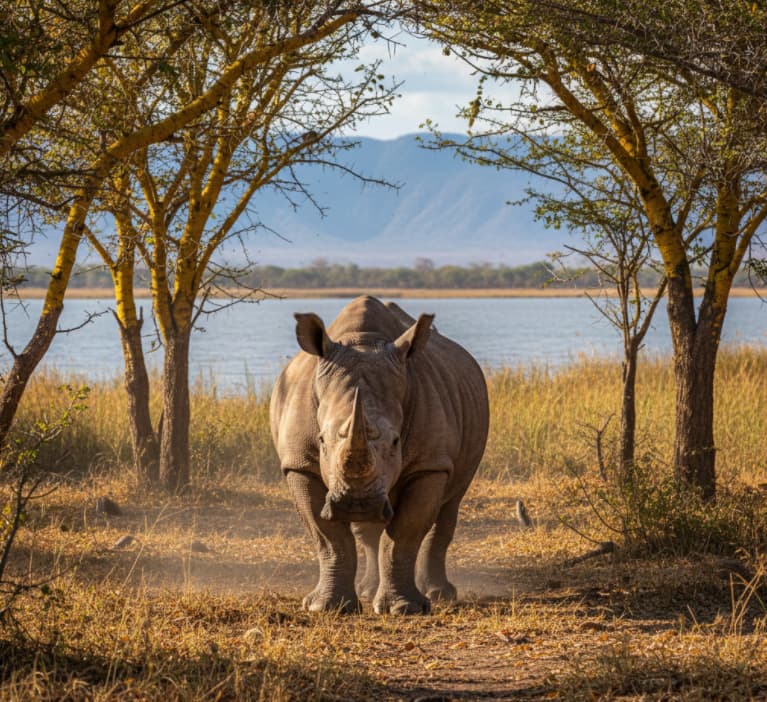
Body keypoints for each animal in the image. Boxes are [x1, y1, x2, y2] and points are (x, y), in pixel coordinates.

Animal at [270, 295, 489, 614]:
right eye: (321, 440)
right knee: (368, 530)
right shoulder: (299, 464)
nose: (357, 503)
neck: (363, 342)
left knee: (451, 503)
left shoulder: (430, 464)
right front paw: (326, 607)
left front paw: (404, 609)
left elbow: (405, 532)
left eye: (396, 442)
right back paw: (366, 589)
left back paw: (439, 594)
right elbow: (329, 536)